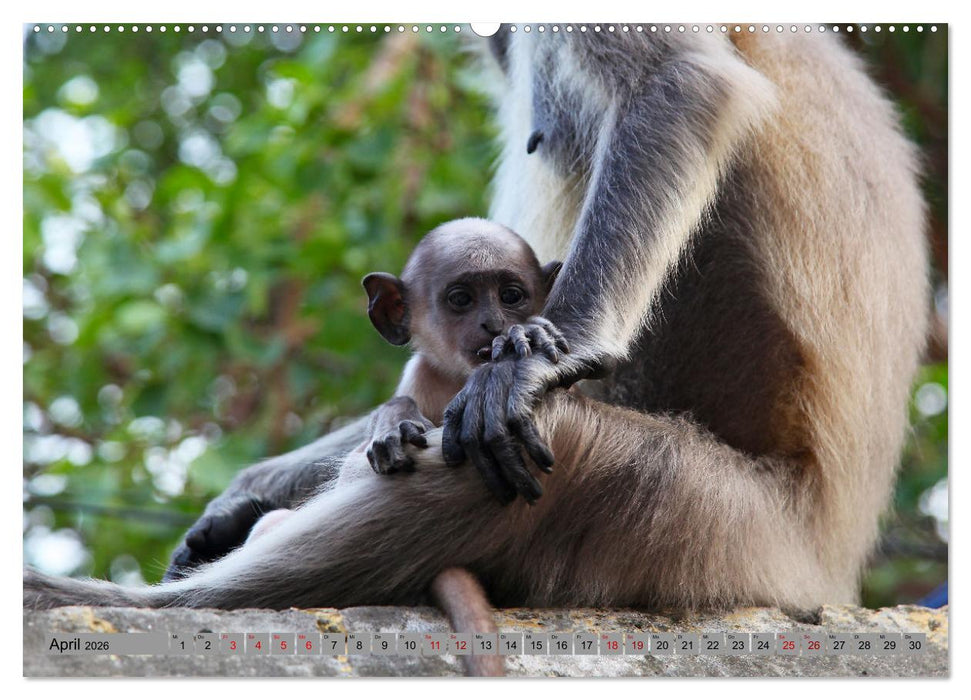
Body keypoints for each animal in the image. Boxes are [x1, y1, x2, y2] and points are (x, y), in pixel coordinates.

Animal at [25, 29, 928, 623]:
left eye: (508, 296)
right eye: (462, 300)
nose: (498, 326)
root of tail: (826, 561)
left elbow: (682, 80)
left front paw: (535, 365)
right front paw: (237, 501)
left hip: (718, 528)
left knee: (552, 438)